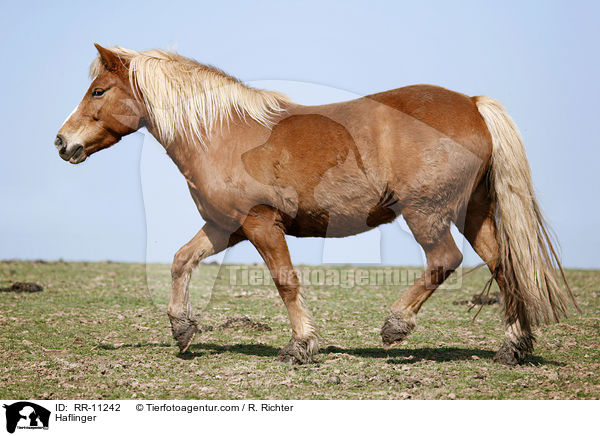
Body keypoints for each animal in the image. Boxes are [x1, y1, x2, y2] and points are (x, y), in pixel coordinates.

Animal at [57, 43, 576, 364]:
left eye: (98, 91)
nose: (62, 142)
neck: (223, 134)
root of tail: (472, 103)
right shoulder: (225, 228)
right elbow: (182, 260)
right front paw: (182, 328)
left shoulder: (261, 224)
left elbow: (285, 281)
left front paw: (301, 345)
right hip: (474, 212)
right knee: (503, 266)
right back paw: (513, 347)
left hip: (426, 214)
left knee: (445, 260)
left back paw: (395, 325)